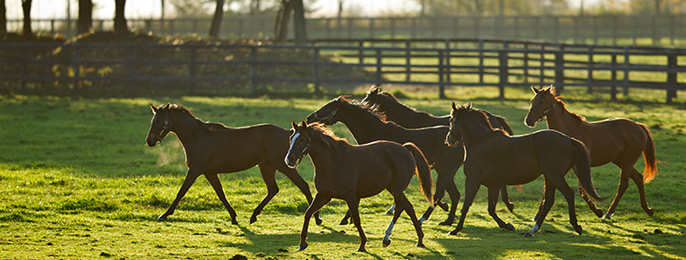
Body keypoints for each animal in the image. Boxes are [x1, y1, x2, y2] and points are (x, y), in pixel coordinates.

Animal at [146, 103, 322, 225]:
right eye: (152, 120)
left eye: (159, 120)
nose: (149, 141)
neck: (197, 136)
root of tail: (288, 133)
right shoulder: (209, 172)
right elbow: (221, 194)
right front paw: (233, 217)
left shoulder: (195, 169)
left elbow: (181, 192)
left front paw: (164, 215)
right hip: (267, 167)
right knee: (273, 189)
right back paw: (253, 216)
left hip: (284, 166)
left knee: (303, 186)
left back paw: (317, 219)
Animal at [286, 121, 436, 252]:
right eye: (291, 138)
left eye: (302, 139)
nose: (289, 159)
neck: (333, 162)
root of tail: (405, 148)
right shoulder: (324, 195)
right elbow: (308, 213)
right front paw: (302, 243)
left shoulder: (351, 196)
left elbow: (357, 220)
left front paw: (362, 244)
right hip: (392, 188)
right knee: (409, 207)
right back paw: (420, 239)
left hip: (397, 189)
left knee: (399, 208)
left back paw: (386, 238)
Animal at [310, 96, 508, 226]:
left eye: (327, 107)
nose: (310, 117)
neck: (377, 132)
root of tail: (458, 140)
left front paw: (346, 219)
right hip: (445, 171)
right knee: (454, 195)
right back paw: (448, 220)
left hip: (445, 170)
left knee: (441, 193)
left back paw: (425, 218)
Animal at [448, 102, 604, 237]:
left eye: (451, 121)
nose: (448, 139)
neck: (480, 142)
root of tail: (569, 140)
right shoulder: (494, 185)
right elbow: (491, 209)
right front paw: (508, 225)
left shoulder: (473, 180)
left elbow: (467, 205)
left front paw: (455, 230)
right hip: (550, 177)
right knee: (549, 201)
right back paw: (533, 230)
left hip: (554, 175)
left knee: (568, 194)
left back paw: (575, 226)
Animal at [528, 85, 660, 219]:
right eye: (532, 101)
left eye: (541, 101)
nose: (528, 120)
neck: (569, 131)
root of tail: (638, 126)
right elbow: (546, 189)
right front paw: (537, 215)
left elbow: (582, 191)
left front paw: (598, 211)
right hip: (620, 161)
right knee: (638, 178)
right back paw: (647, 209)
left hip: (627, 161)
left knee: (623, 184)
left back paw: (609, 213)